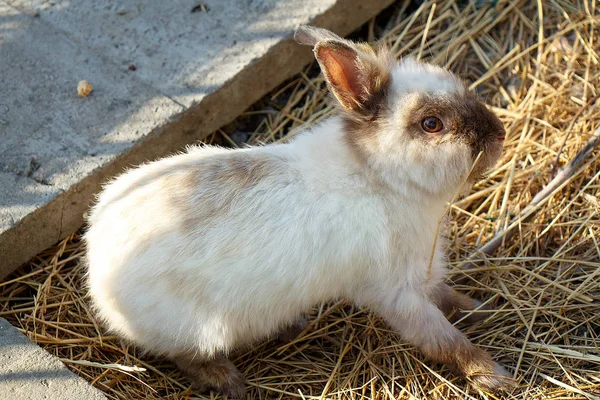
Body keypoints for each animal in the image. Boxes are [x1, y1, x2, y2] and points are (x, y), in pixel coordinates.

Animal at [85, 25, 510, 396]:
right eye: (431, 124)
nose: (499, 133)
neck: (380, 174)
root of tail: (96, 273)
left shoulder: (425, 274)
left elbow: (452, 299)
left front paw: (487, 309)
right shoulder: (398, 294)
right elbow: (448, 342)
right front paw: (496, 375)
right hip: (198, 331)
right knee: (185, 357)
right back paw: (230, 382)